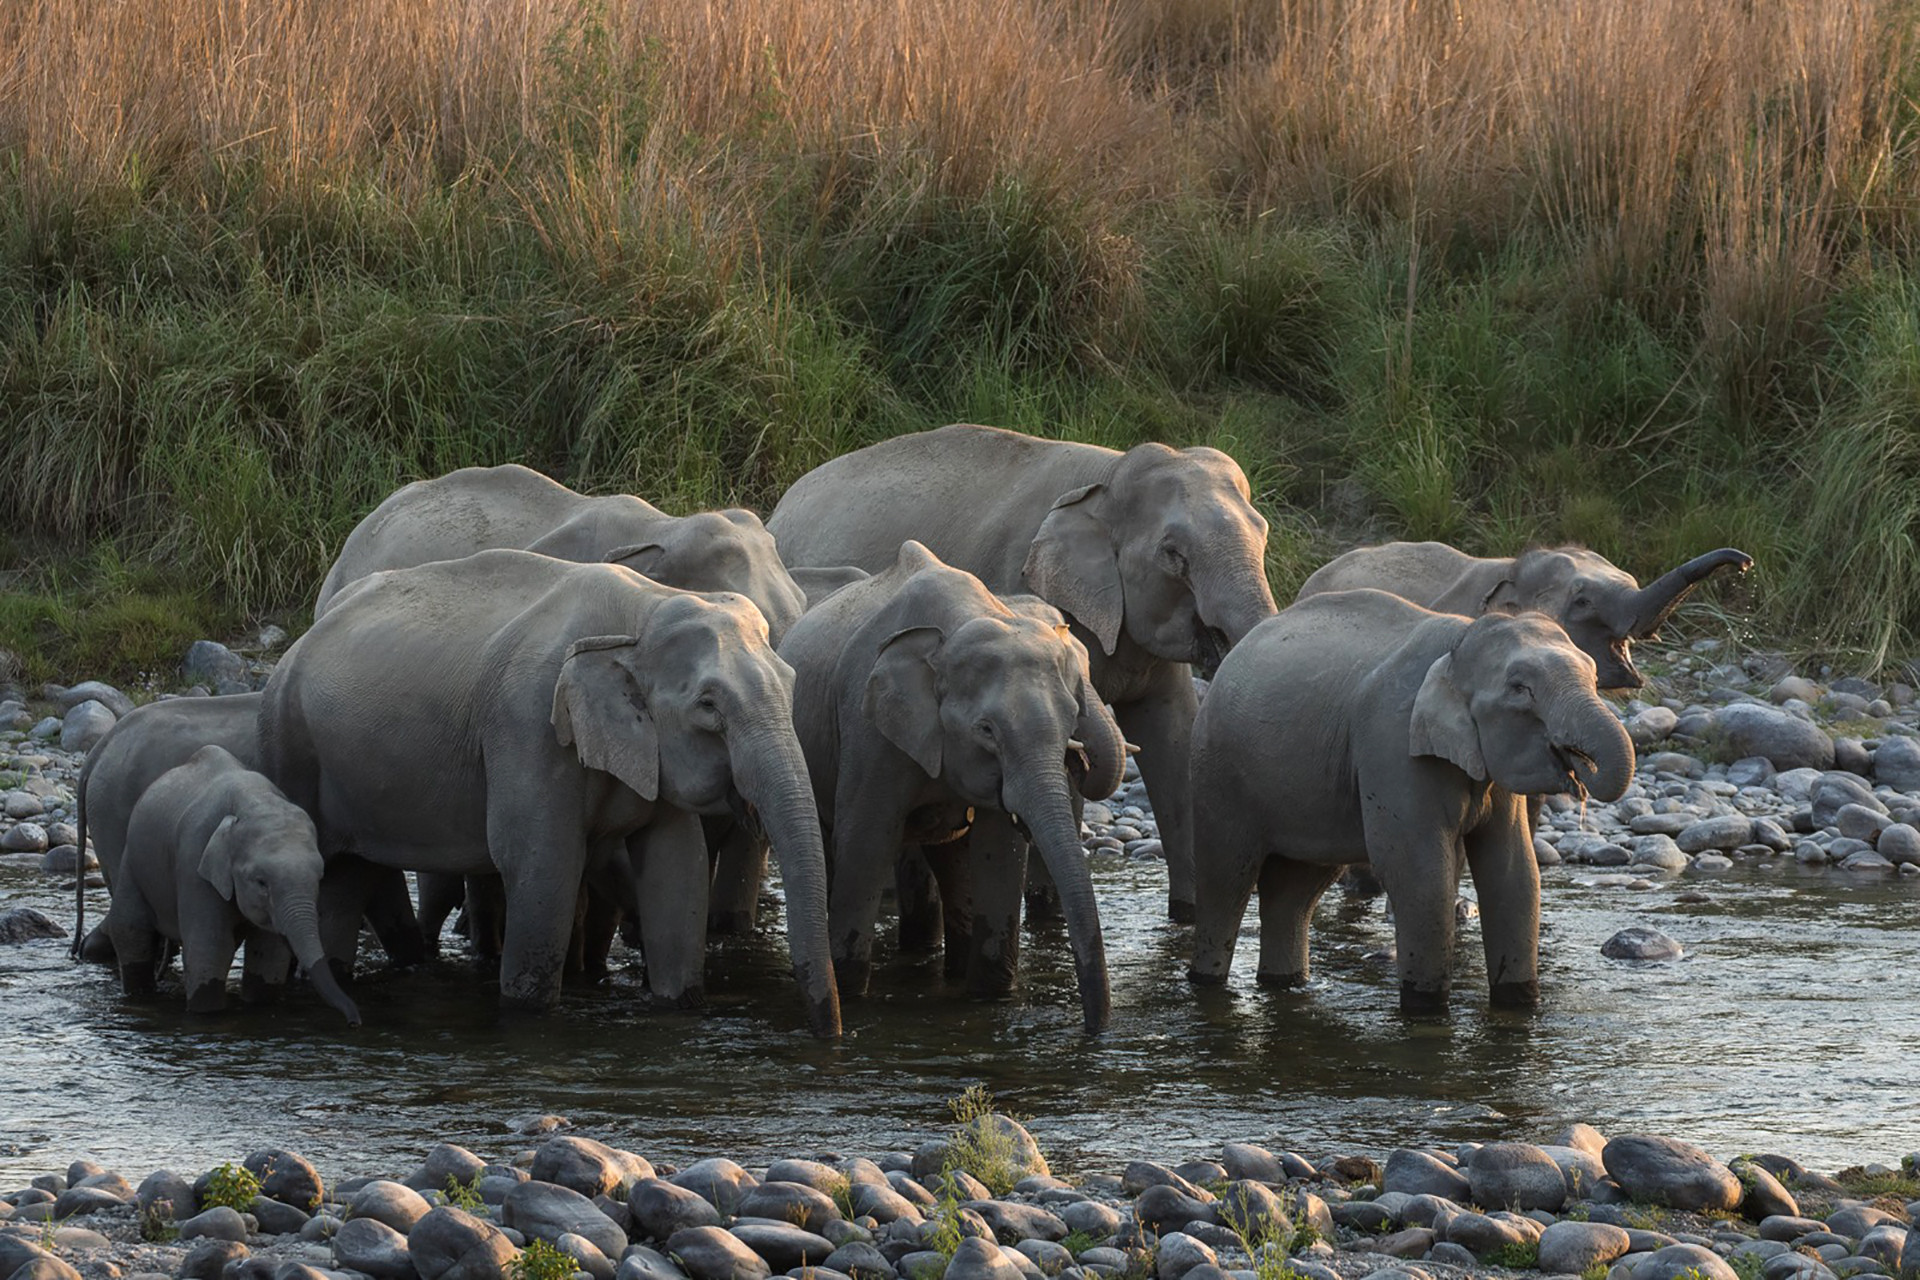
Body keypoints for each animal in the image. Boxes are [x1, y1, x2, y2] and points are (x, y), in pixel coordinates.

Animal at [102, 744, 362, 1024]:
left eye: (320, 877)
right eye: (261, 882)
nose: (355, 1021)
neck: (254, 801)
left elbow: (269, 952)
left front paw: (261, 1006)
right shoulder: (193, 861)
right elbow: (211, 947)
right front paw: (207, 1015)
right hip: (131, 861)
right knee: (130, 930)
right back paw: (139, 997)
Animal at [260, 549, 841, 1035]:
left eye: (792, 682)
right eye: (708, 706)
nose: (830, 1033)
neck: (642, 610)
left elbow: (679, 868)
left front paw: (678, 1003)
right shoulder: (528, 725)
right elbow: (541, 864)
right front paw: (529, 1015)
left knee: (347, 876)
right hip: (290, 746)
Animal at [766, 540, 1127, 1032]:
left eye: (1071, 719)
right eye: (986, 730)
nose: (1093, 1032)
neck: (960, 623)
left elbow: (999, 852)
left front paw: (991, 998)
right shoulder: (869, 727)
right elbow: (865, 843)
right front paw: (852, 997)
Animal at [769, 424, 1279, 921]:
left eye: (1264, 533)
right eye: (1174, 554)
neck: (1108, 473)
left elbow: (1172, 736)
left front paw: (1186, 916)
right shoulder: (1016, 576)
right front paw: (1047, 913)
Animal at [1186, 591, 1635, 1013]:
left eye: (1594, 676)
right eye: (1520, 688)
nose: (1578, 771)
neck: (1458, 643)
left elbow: (1514, 872)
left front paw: (1519, 1003)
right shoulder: (1393, 743)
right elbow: (1419, 871)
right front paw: (1425, 1009)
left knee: (1294, 889)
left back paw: (1286, 983)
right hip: (1219, 772)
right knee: (1226, 878)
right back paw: (1207, 982)